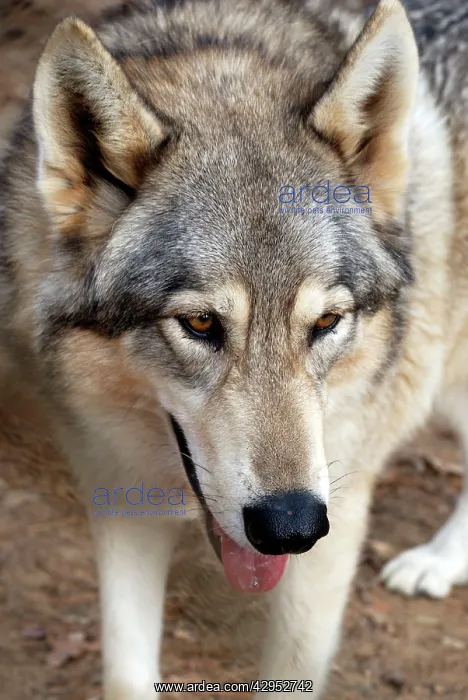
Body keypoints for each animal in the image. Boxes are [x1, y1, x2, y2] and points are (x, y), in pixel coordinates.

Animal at [1, 0, 468, 696]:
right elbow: (125, 670)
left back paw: (437, 562)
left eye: (327, 322)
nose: (291, 527)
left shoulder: (335, 524)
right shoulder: (119, 499)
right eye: (199, 324)